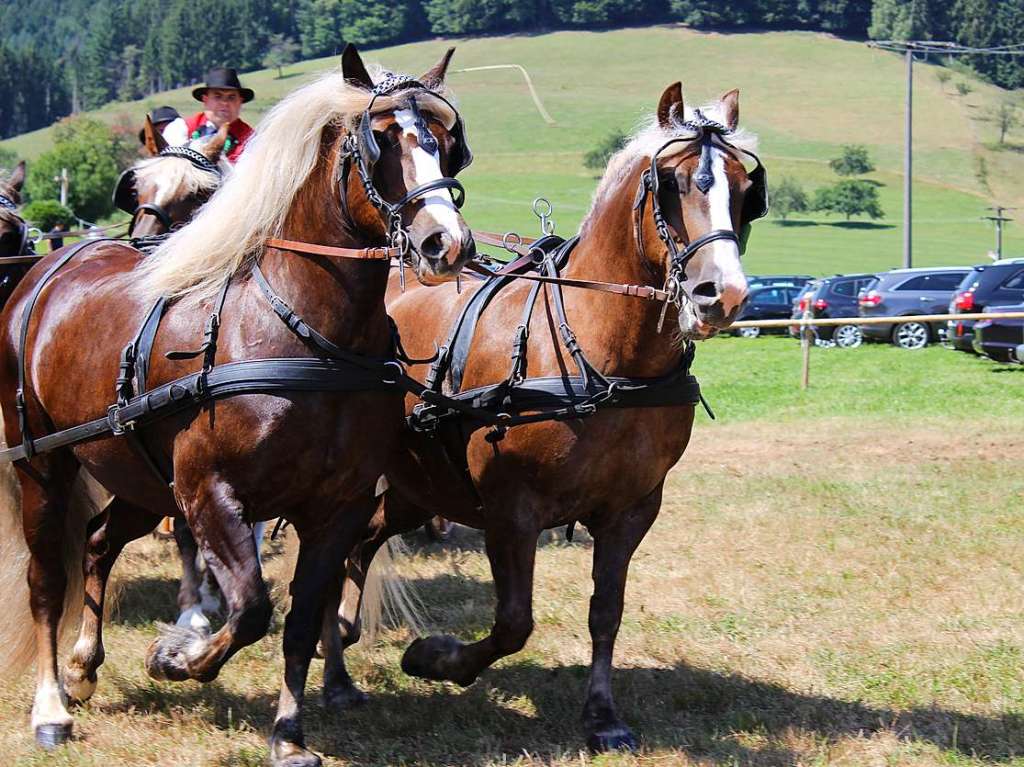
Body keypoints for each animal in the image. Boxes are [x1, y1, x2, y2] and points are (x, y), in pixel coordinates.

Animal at [0, 44, 475, 761]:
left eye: (448, 146)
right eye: (381, 142)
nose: (445, 244)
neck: (305, 334)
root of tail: (45, 273)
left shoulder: (337, 506)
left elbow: (300, 618)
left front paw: (288, 732)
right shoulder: (208, 494)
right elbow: (250, 606)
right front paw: (179, 656)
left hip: (140, 480)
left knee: (98, 544)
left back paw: (84, 667)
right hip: (42, 467)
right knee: (46, 580)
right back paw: (52, 705)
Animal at [323, 80, 765, 749]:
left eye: (745, 189)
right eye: (672, 182)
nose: (724, 294)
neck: (603, 358)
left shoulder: (632, 509)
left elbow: (606, 612)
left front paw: (602, 715)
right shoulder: (511, 511)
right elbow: (513, 622)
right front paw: (436, 659)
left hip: (418, 487)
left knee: (364, 539)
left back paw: (342, 640)